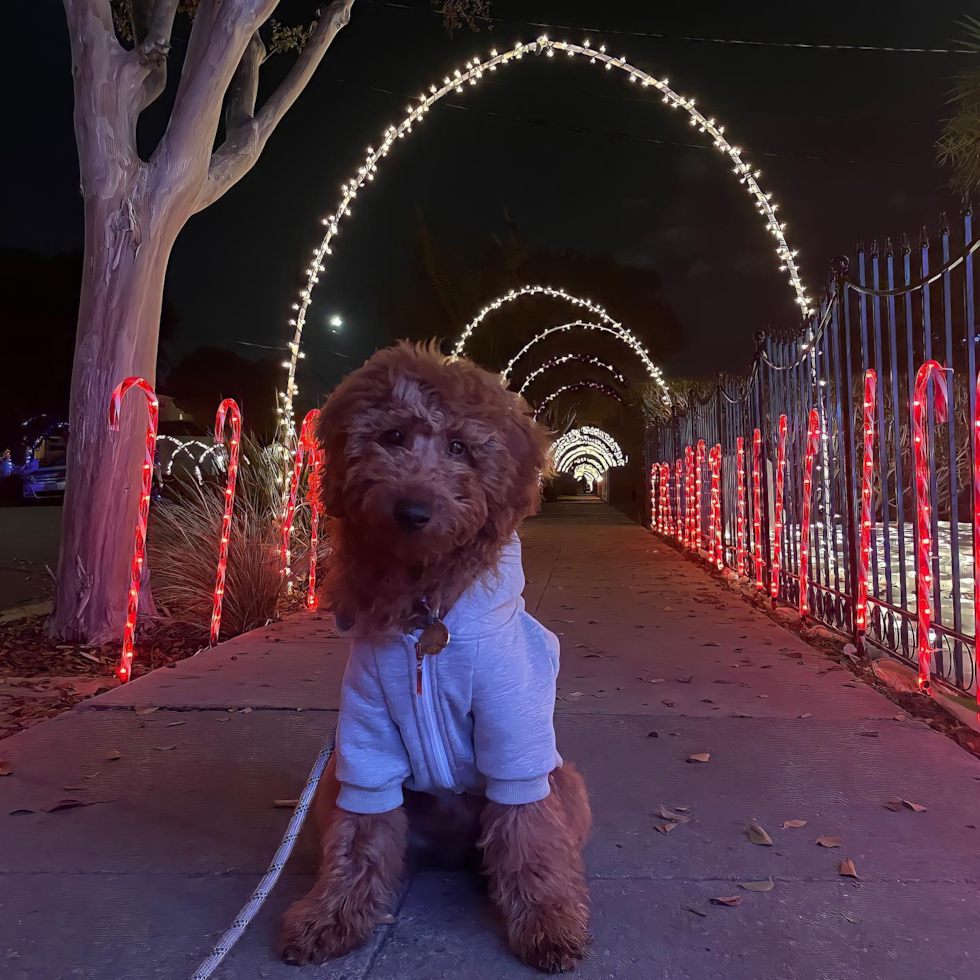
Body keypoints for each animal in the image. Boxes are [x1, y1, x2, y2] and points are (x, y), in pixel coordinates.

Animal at [280, 340, 592, 968]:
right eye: (393, 436)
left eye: (459, 448)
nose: (413, 510)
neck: (426, 609)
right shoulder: (365, 733)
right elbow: (359, 832)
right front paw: (331, 914)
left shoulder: (514, 734)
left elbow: (530, 829)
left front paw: (547, 920)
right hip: (332, 785)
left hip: (564, 777)